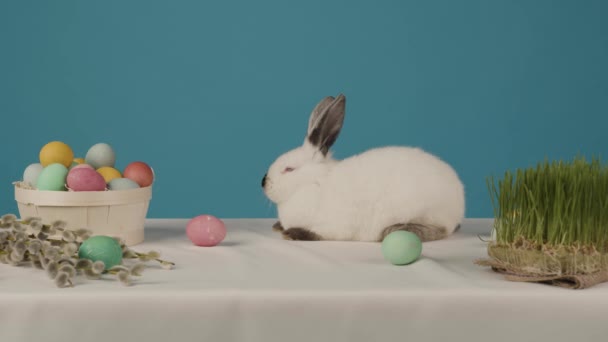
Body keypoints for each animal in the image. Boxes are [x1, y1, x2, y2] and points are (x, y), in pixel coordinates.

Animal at [262, 93, 466, 242]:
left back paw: (396, 230)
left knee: (442, 230)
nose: (264, 182)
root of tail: (459, 200)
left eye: (289, 169)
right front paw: (278, 226)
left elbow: (318, 234)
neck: (314, 182)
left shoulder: (334, 226)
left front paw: (292, 233)